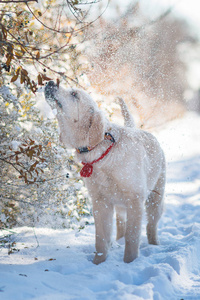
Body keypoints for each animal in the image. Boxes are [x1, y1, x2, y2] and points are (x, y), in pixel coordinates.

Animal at [44, 81, 165, 264]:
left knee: (151, 225)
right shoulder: (101, 202)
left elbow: (132, 237)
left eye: (74, 94)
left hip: (155, 198)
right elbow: (101, 239)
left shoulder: (135, 200)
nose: (50, 82)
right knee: (121, 224)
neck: (100, 150)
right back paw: (119, 241)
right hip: (121, 206)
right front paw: (98, 264)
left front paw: (129, 262)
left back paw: (155, 245)